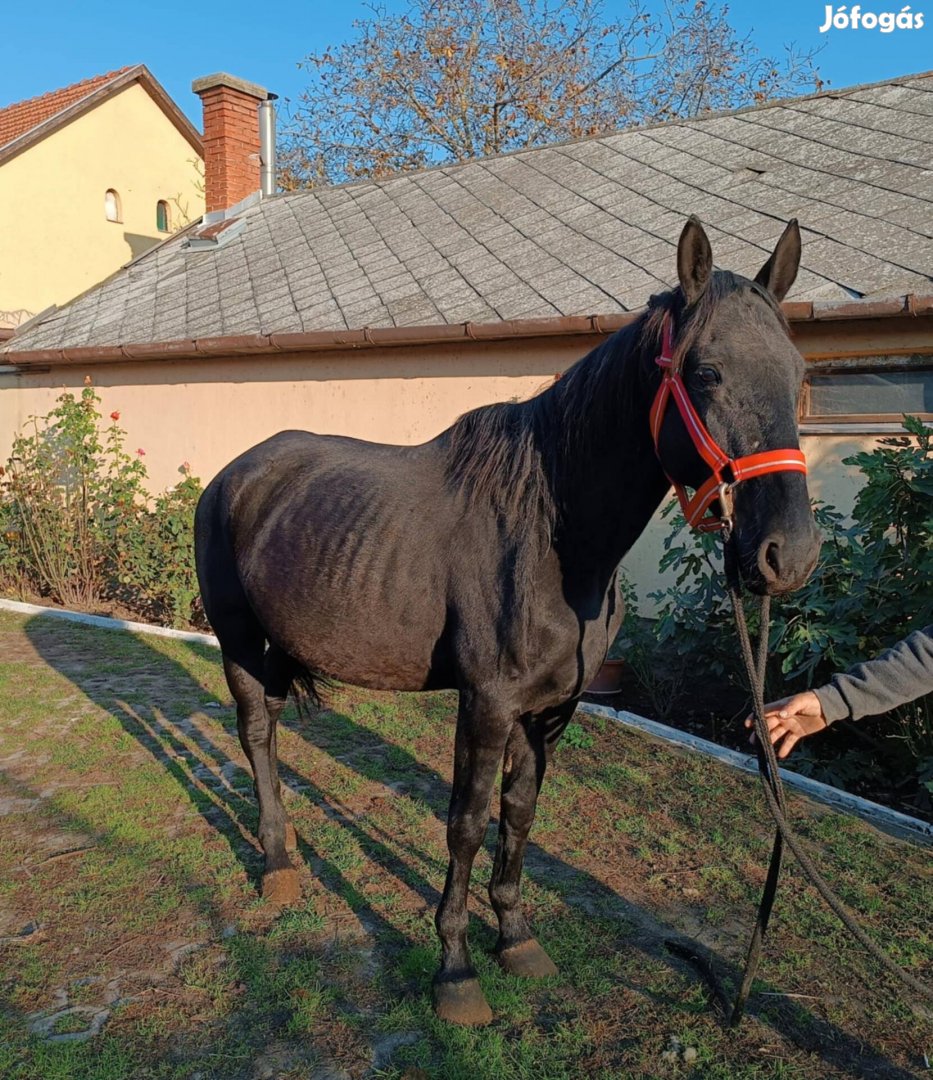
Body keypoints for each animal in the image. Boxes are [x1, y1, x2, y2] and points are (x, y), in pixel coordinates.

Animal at [195, 214, 816, 1023]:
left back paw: (288, 849)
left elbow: (518, 814)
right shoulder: (486, 703)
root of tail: (235, 474)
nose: (788, 555)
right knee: (256, 733)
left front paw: (515, 939)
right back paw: (275, 867)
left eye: (799, 376)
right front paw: (455, 970)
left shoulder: (550, 710)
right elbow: (464, 823)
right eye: (706, 372)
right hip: (236, 640)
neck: (553, 536)